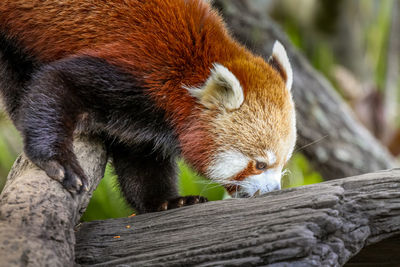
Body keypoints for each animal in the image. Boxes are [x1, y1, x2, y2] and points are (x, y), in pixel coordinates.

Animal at [0, 0, 294, 214]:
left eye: (282, 161)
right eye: (259, 164)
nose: (274, 190)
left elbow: (140, 159)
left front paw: (165, 201)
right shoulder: (138, 71)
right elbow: (57, 81)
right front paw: (58, 161)